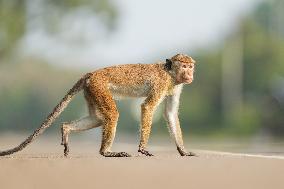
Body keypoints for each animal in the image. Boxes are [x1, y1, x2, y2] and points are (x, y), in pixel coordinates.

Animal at [0, 53, 195, 157]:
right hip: (98, 86)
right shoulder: (161, 83)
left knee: (97, 119)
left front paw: (183, 151)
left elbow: (170, 114)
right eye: (184, 66)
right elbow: (147, 107)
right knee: (112, 115)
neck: (170, 74)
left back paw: (66, 129)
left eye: (190, 66)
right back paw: (106, 152)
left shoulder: (175, 87)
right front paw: (142, 148)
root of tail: (91, 73)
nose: (189, 74)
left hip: (91, 91)